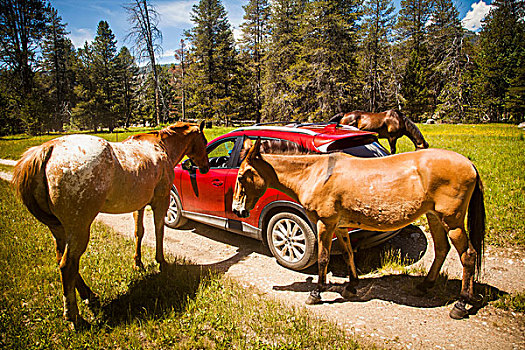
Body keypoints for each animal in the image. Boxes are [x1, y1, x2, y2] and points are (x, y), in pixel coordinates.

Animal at [12, 121, 209, 326]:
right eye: (204, 141)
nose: (205, 167)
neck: (161, 147)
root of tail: (48, 149)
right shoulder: (160, 200)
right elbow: (159, 231)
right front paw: (161, 261)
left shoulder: (138, 205)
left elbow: (139, 232)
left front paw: (138, 263)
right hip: (79, 228)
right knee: (67, 265)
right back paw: (75, 316)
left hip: (59, 229)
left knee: (61, 259)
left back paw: (89, 295)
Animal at [231, 138, 486, 318]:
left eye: (242, 177)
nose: (236, 210)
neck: (315, 174)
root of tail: (470, 164)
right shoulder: (341, 227)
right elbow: (348, 254)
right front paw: (352, 286)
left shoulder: (325, 224)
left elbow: (323, 259)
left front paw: (316, 293)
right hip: (434, 217)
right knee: (442, 249)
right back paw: (425, 285)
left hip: (452, 221)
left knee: (468, 255)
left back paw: (461, 304)